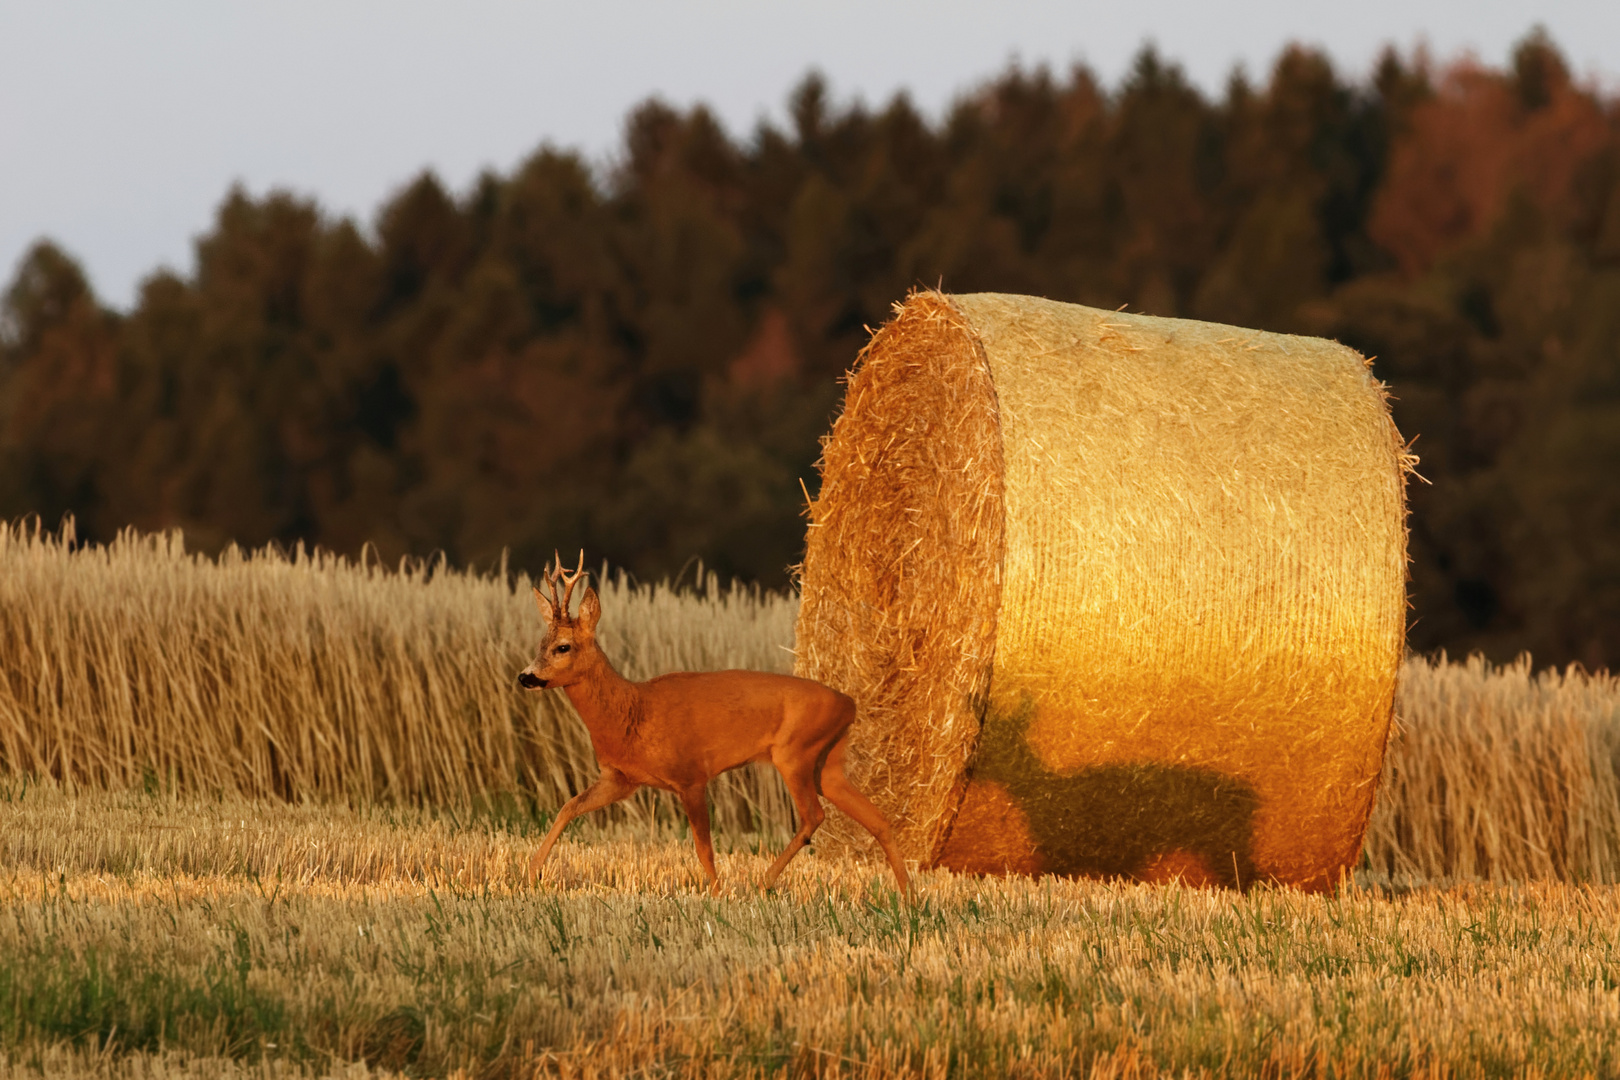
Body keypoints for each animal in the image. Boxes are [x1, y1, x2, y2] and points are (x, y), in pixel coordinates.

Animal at [515, 553, 907, 900]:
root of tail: (849, 703)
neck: (633, 710)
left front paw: (718, 894)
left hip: (794, 752)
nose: (525, 676)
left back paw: (764, 882)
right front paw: (530, 874)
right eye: (540, 644)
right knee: (878, 819)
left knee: (813, 816)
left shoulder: (690, 775)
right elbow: (568, 807)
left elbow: (703, 846)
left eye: (563, 647)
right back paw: (908, 896)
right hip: (828, 764)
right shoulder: (620, 779)